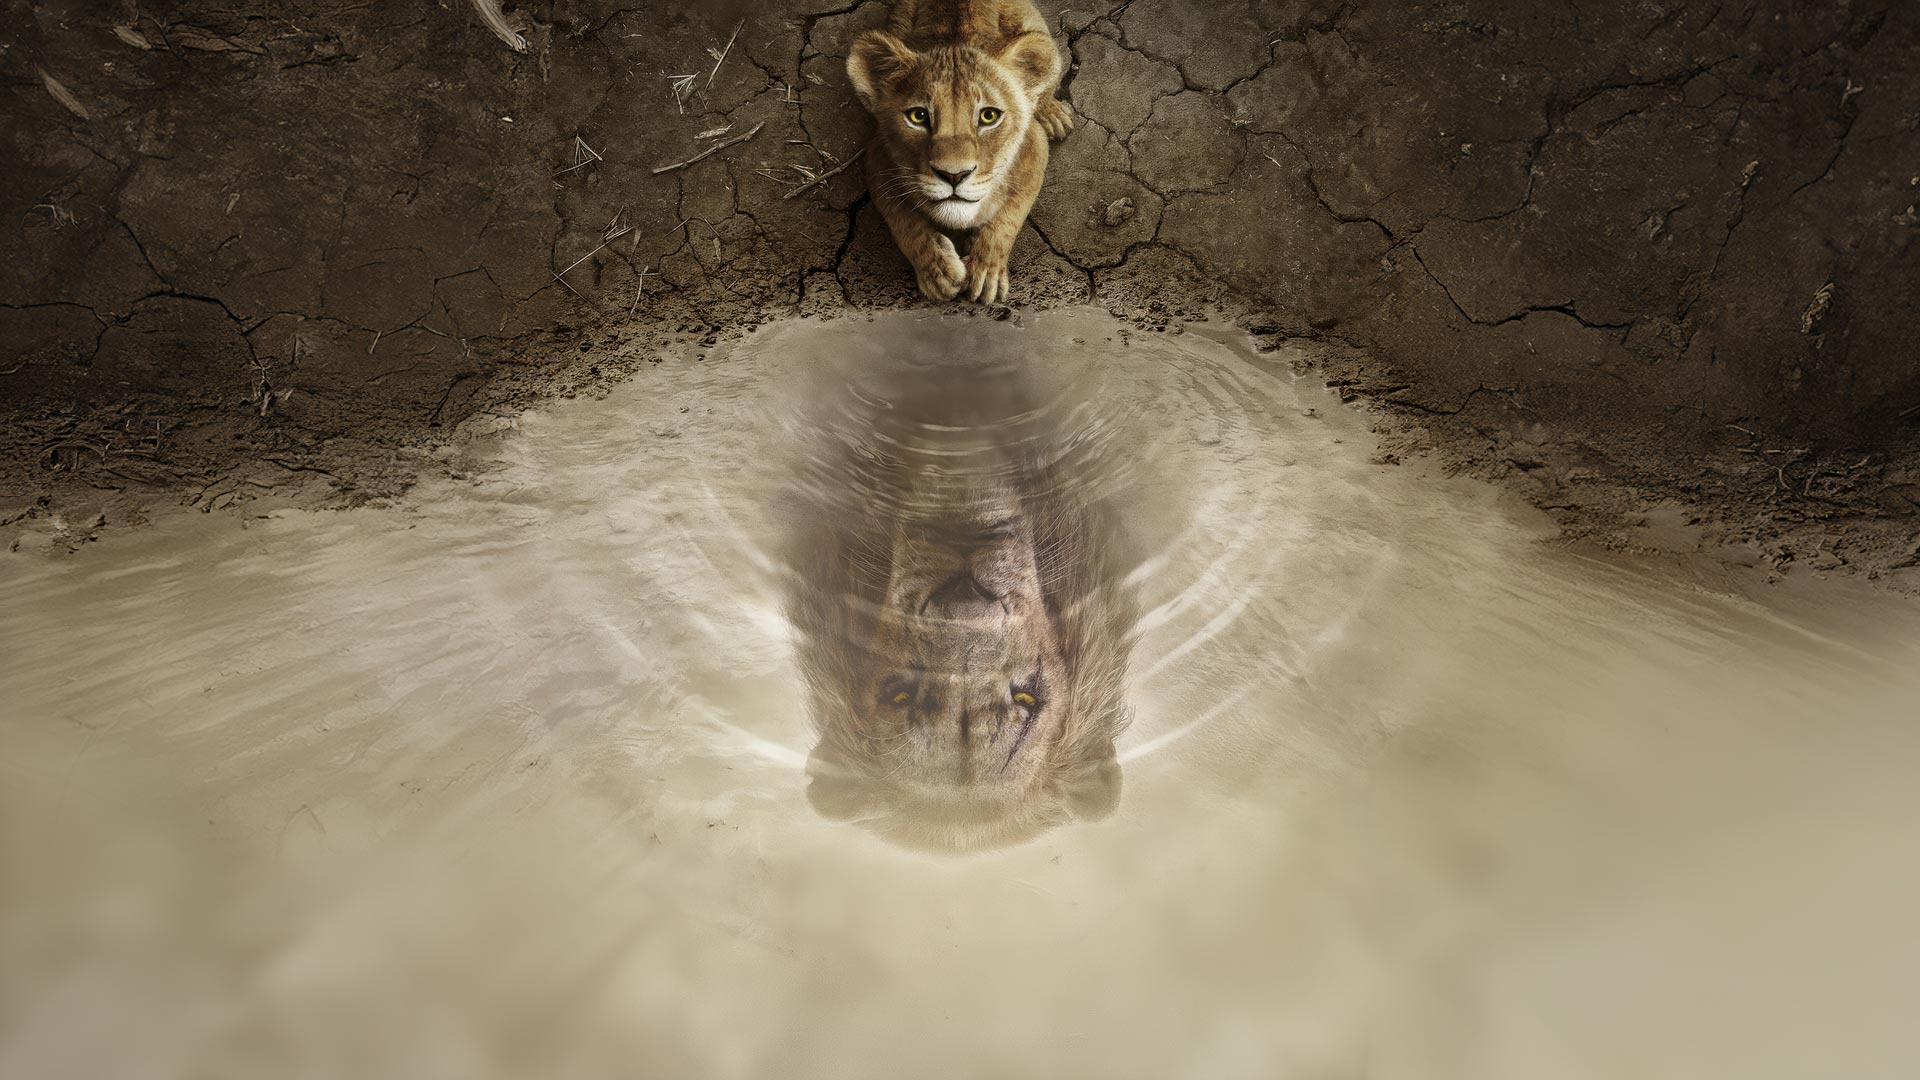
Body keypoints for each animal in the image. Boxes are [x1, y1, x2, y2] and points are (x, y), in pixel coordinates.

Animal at [846, 0, 1075, 304]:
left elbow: (1008, 217)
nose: (954, 175)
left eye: (989, 116)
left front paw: (986, 271)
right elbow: (903, 220)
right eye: (918, 116)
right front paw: (937, 272)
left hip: (1035, 28)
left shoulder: (1034, 147)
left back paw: (1053, 115)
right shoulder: (876, 157)